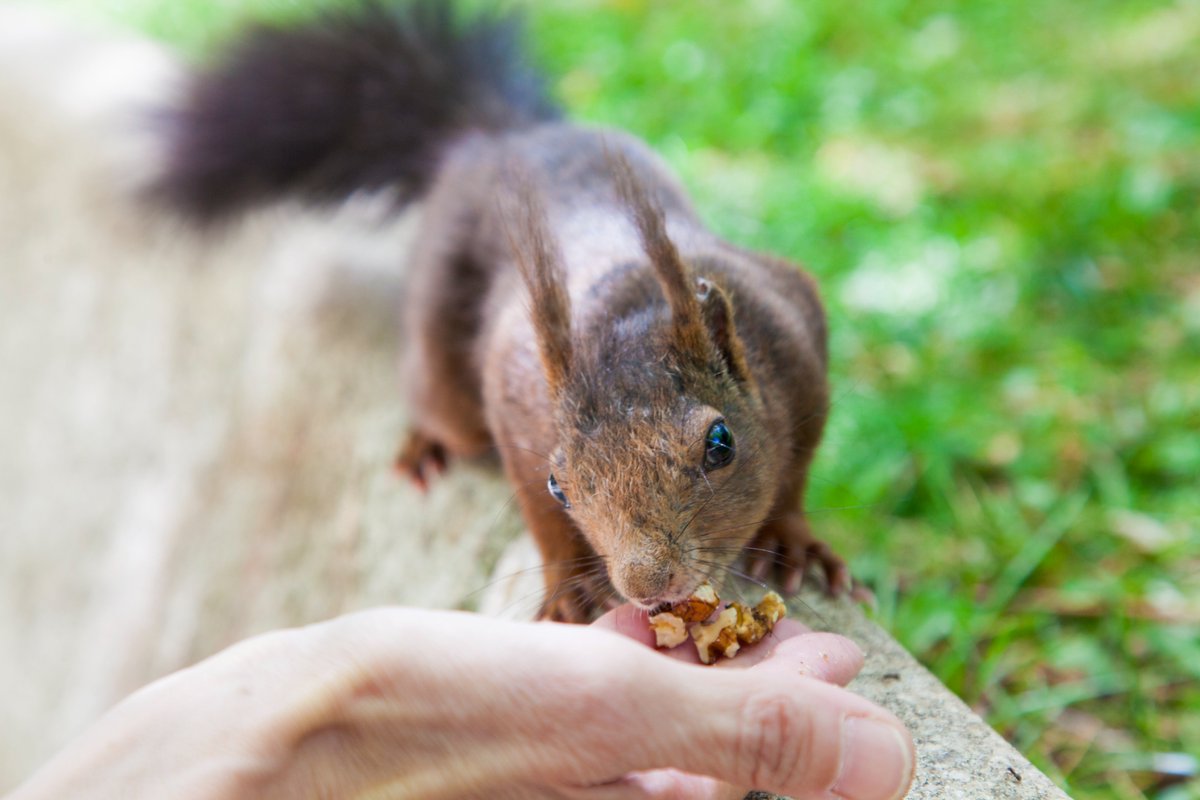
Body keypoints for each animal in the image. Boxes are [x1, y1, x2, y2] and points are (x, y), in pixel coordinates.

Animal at [155, 0, 850, 622]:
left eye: (720, 445)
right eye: (560, 484)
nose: (648, 584)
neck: (629, 307)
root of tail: (491, 139)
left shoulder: (796, 333)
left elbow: (795, 469)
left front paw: (792, 538)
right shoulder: (515, 401)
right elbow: (533, 507)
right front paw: (569, 585)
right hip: (445, 366)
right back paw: (423, 441)